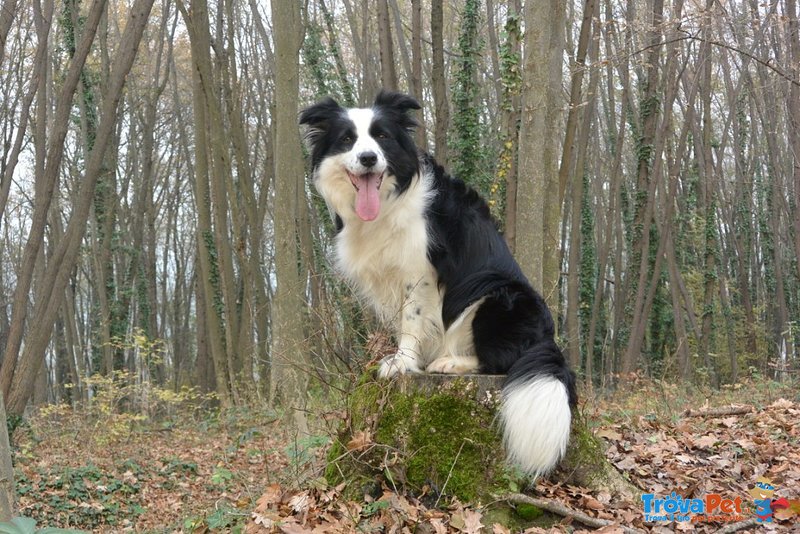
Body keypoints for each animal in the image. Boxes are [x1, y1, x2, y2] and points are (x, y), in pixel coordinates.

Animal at [300, 91, 576, 478]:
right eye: (347, 139)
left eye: (382, 136)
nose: (368, 158)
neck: (389, 200)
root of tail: (548, 340)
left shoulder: (420, 271)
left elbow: (411, 320)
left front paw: (402, 363)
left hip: (498, 297)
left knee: (502, 360)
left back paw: (450, 363)